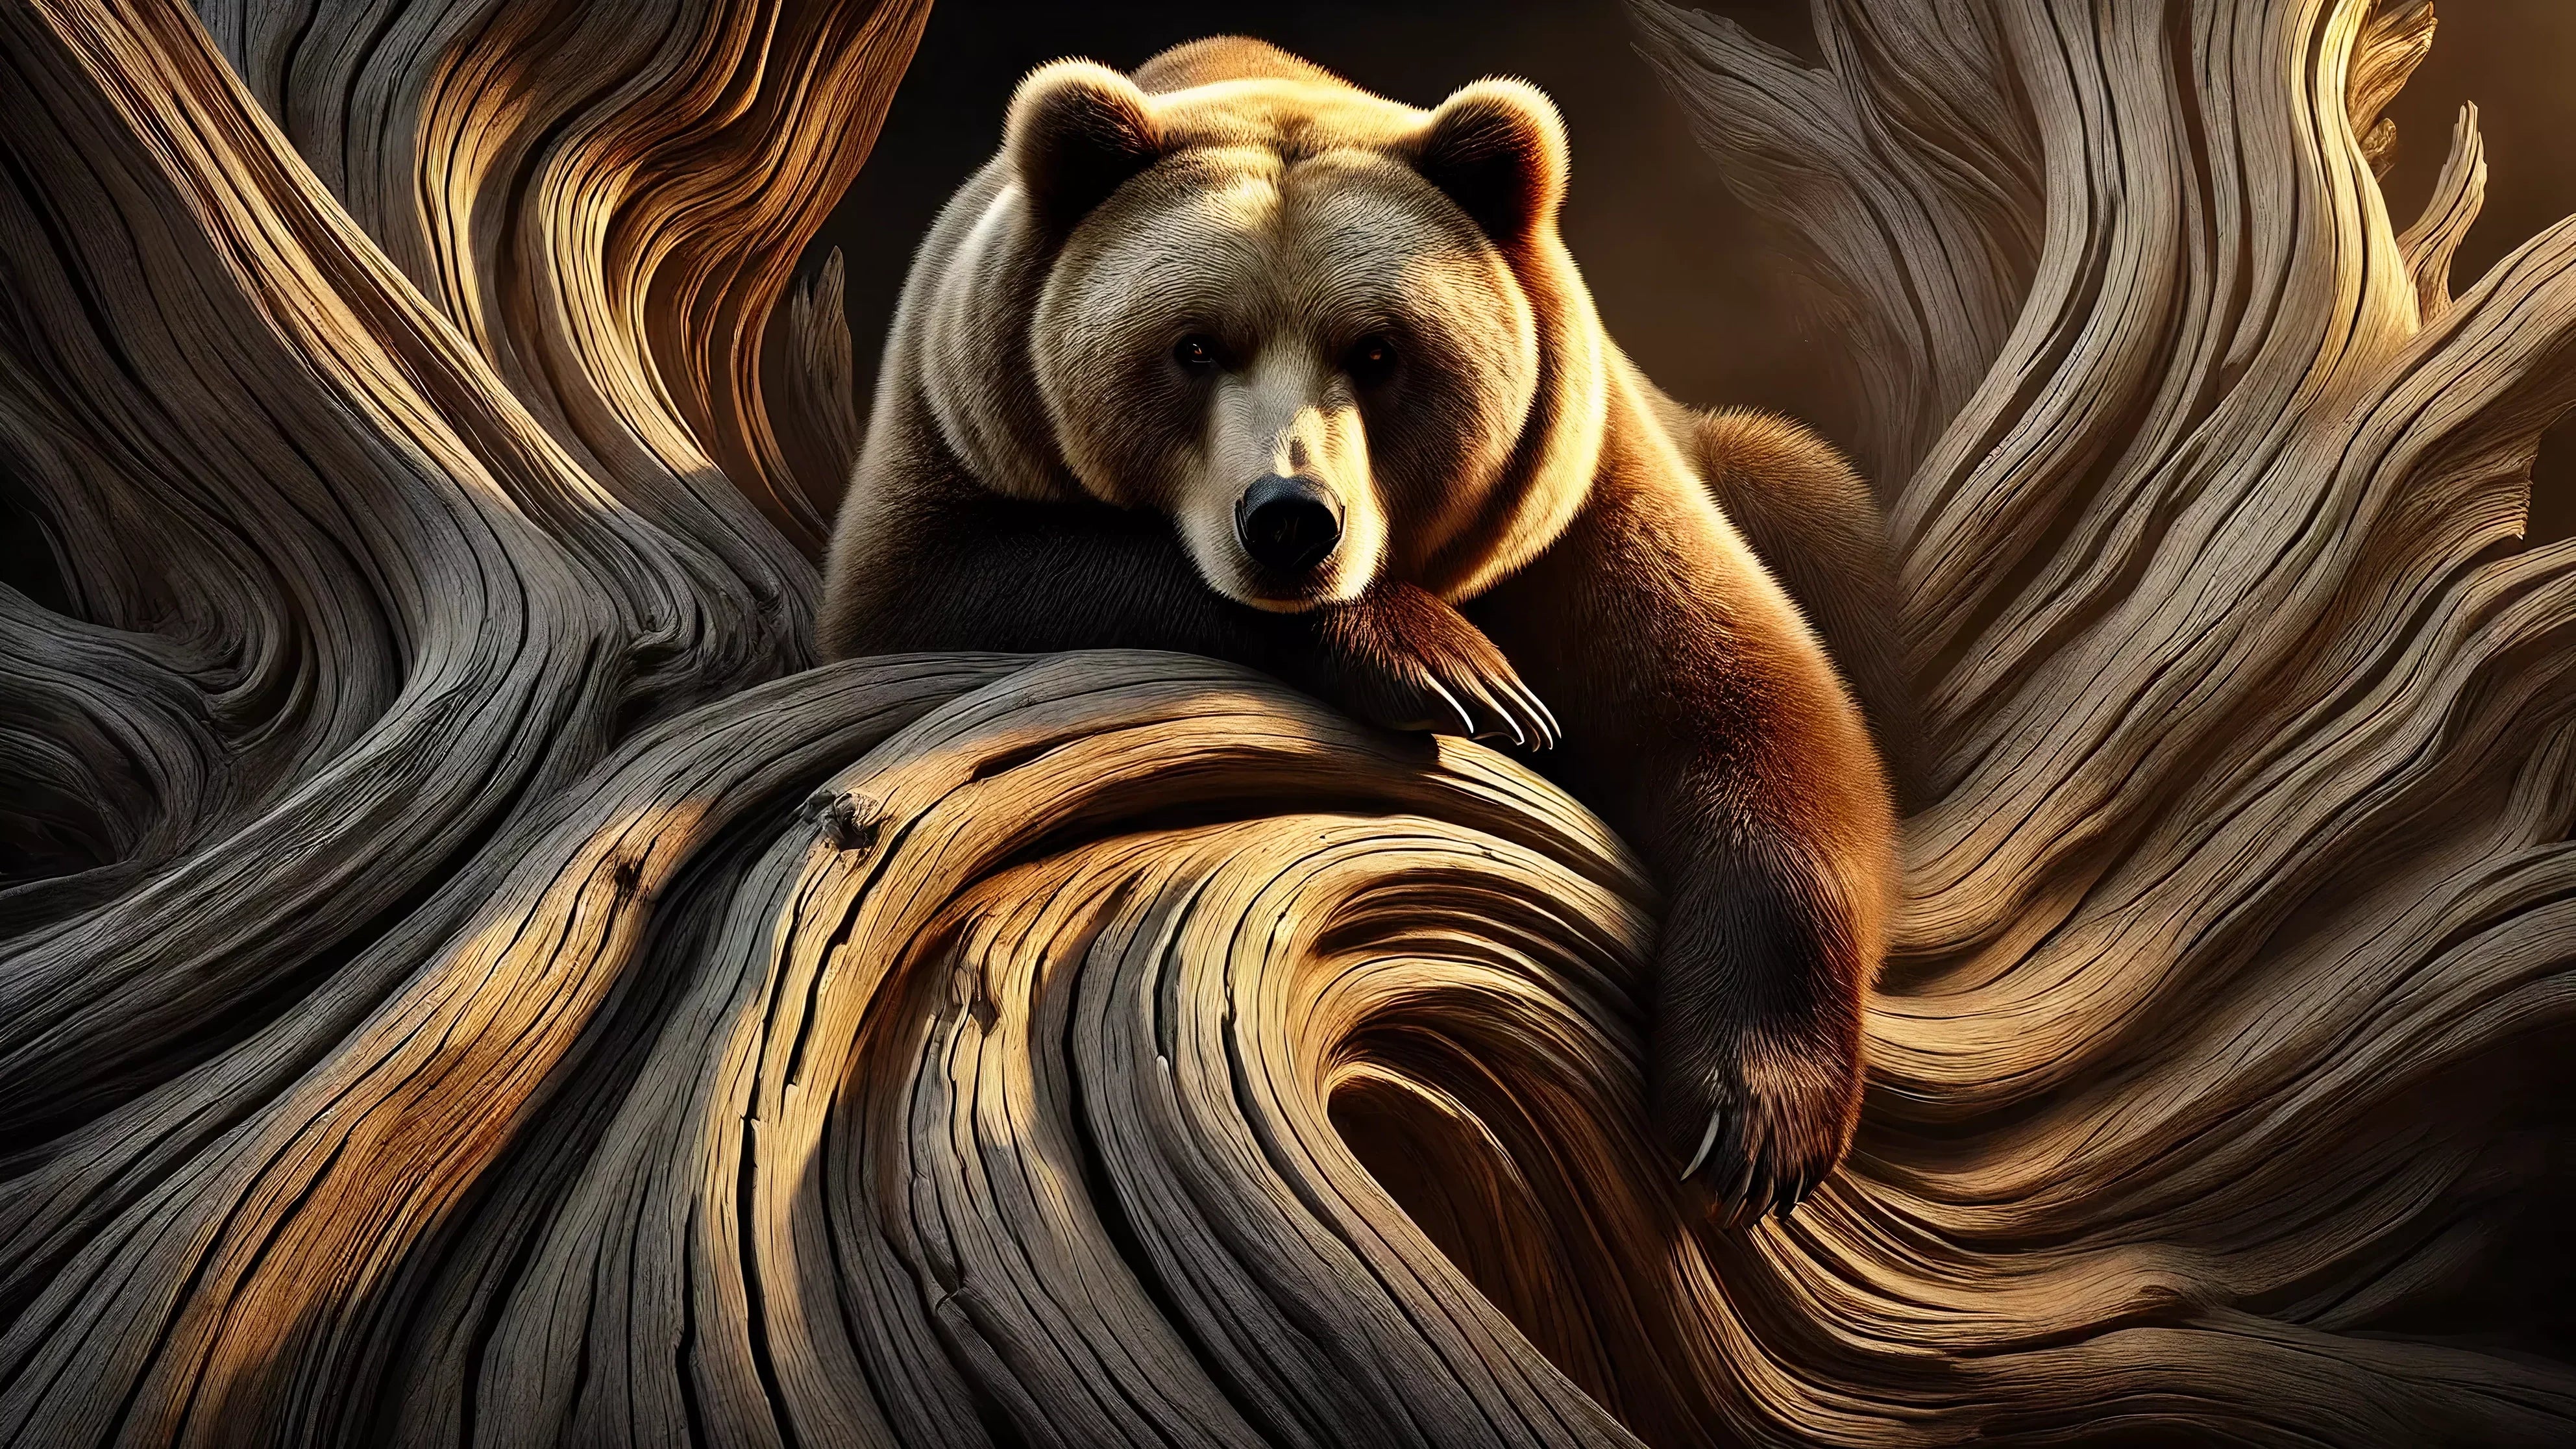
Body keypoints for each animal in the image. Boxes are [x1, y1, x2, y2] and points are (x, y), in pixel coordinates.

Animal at [820, 35, 1901, 1221]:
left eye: (1378, 352)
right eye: (1194, 347)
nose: (1291, 519)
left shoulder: (1581, 492)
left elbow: (1745, 704)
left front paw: (1749, 1118)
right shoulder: (953, 429)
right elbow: (941, 584)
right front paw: (1454, 669)